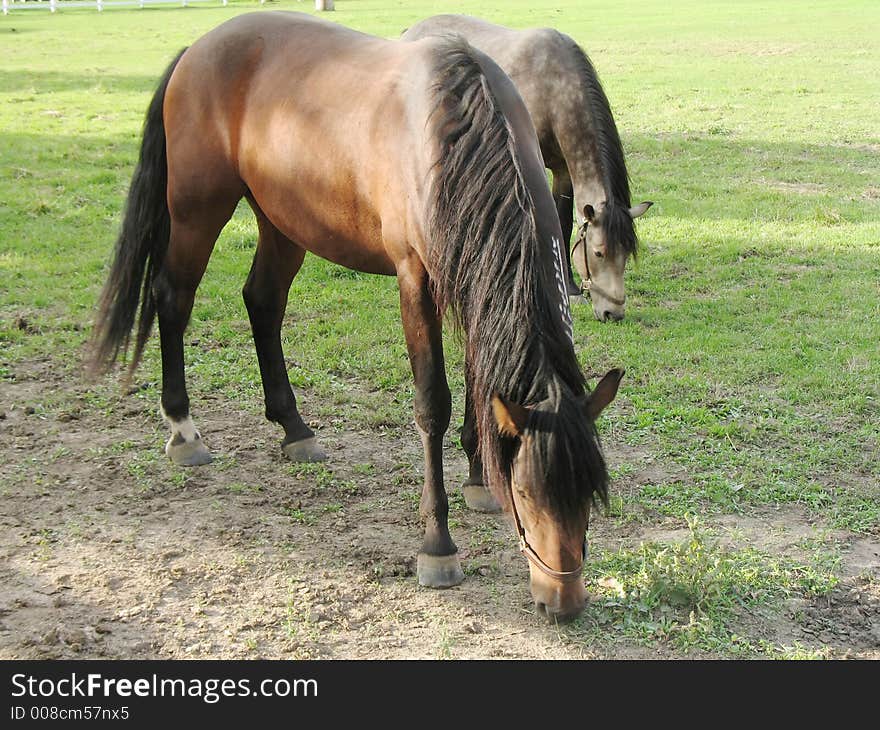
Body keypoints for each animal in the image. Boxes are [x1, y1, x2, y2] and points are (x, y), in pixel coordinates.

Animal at [402, 14, 648, 320]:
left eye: (626, 253)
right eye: (599, 252)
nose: (613, 313)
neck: (556, 86)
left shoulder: (564, 170)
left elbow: (564, 220)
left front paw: (570, 286)